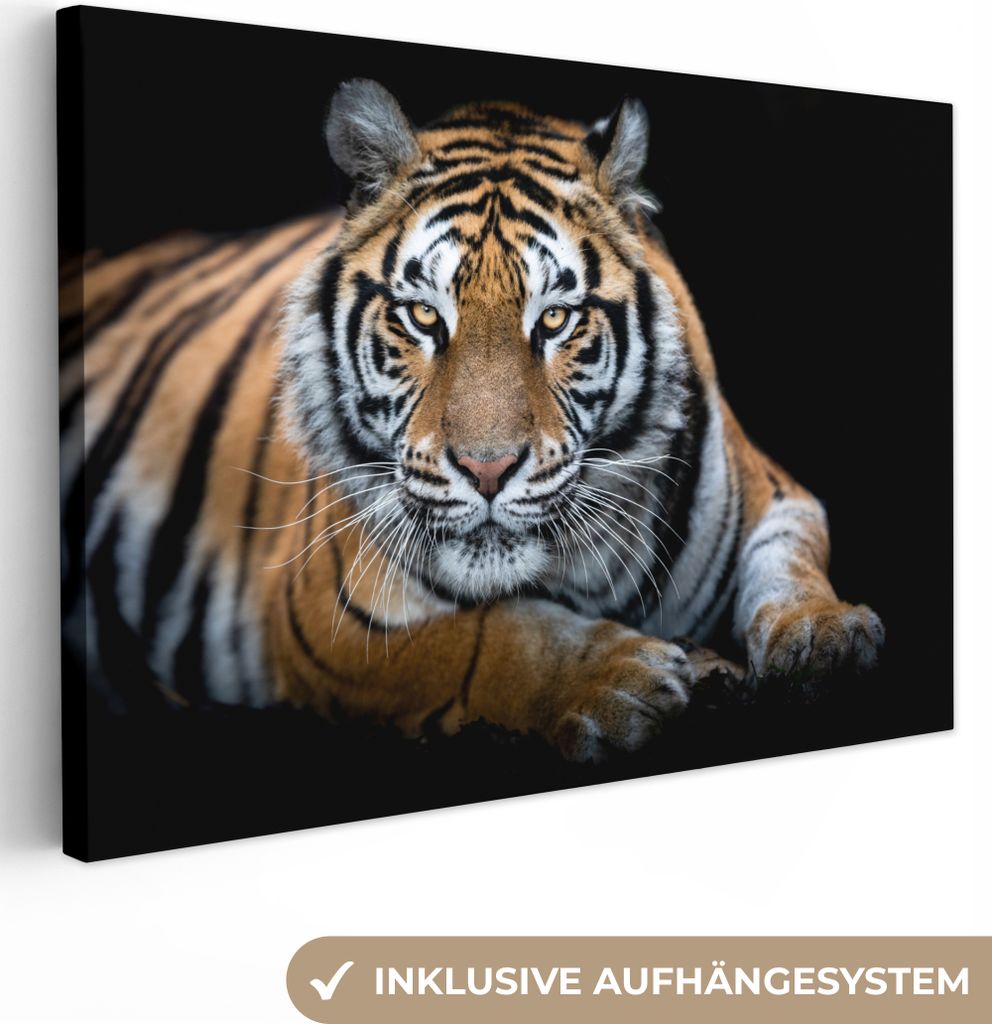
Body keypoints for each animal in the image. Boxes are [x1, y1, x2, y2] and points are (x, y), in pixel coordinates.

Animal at [60, 79, 884, 762]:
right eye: (425, 316)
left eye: (554, 319)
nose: (487, 469)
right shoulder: (325, 612)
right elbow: (487, 636)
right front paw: (619, 679)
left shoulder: (777, 495)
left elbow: (790, 564)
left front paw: (827, 638)